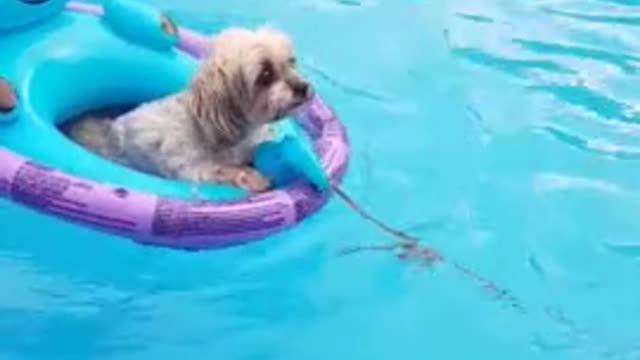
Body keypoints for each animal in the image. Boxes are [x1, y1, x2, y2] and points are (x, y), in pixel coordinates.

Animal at [66, 26, 314, 191]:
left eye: (291, 61)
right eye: (265, 75)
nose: (303, 87)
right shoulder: (191, 169)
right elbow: (221, 169)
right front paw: (252, 176)